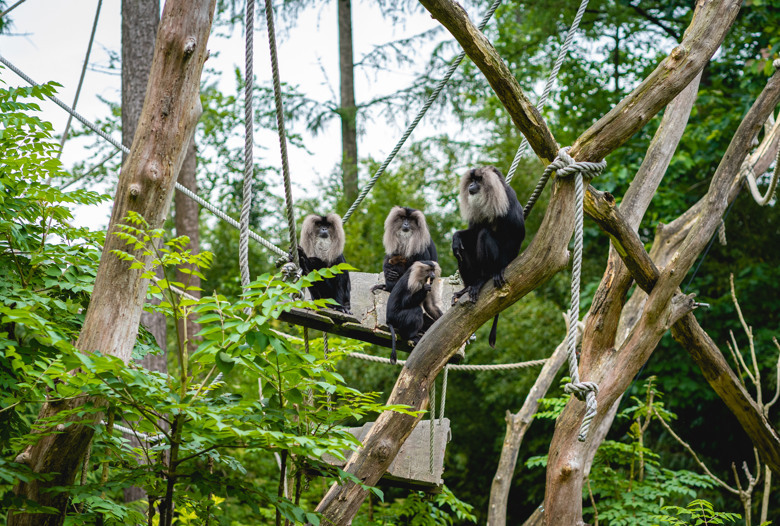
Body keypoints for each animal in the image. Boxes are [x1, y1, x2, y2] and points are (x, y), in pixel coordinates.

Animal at [450, 167, 524, 350]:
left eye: (478, 180)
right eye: (471, 181)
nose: (471, 186)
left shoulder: (508, 197)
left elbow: (517, 232)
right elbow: (472, 231)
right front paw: (456, 237)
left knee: (484, 234)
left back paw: (483, 279)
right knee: (463, 249)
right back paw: (466, 287)